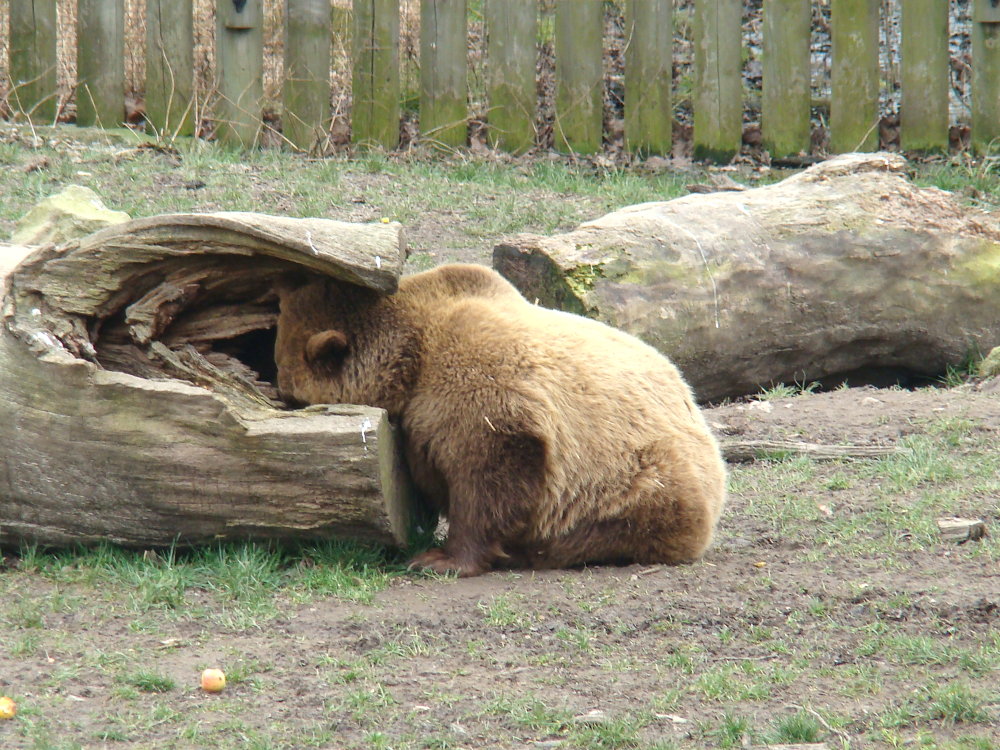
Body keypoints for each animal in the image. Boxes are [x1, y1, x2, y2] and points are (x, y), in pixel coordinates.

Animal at [274, 266, 728, 580]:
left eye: (293, 394)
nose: (280, 397)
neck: (410, 360)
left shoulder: (481, 389)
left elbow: (486, 474)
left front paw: (438, 558)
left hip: (634, 481)